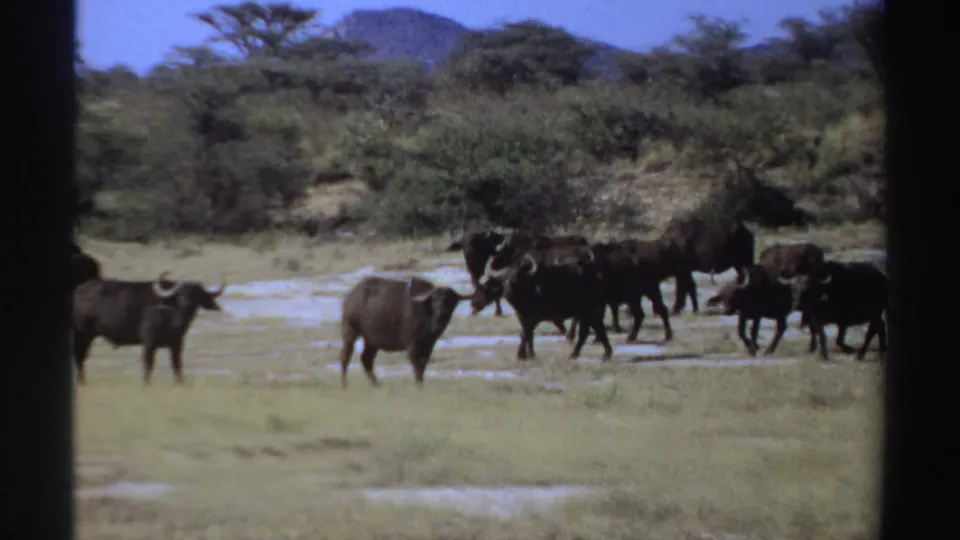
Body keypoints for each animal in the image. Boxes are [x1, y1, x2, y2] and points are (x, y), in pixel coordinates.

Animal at [72, 272, 227, 384]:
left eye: (196, 293)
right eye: (180, 293)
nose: (186, 303)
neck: (172, 315)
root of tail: (77, 292)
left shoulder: (177, 344)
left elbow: (177, 364)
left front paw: (180, 382)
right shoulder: (149, 342)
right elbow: (149, 364)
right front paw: (146, 383)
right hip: (82, 335)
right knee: (80, 357)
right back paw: (81, 381)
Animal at [339, 276, 471, 388]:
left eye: (451, 300)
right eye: (434, 299)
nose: (441, 312)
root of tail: (350, 297)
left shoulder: (429, 344)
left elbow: (423, 364)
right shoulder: (412, 344)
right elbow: (416, 365)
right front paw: (418, 385)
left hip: (371, 341)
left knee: (366, 359)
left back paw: (376, 384)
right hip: (350, 331)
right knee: (345, 356)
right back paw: (345, 385)